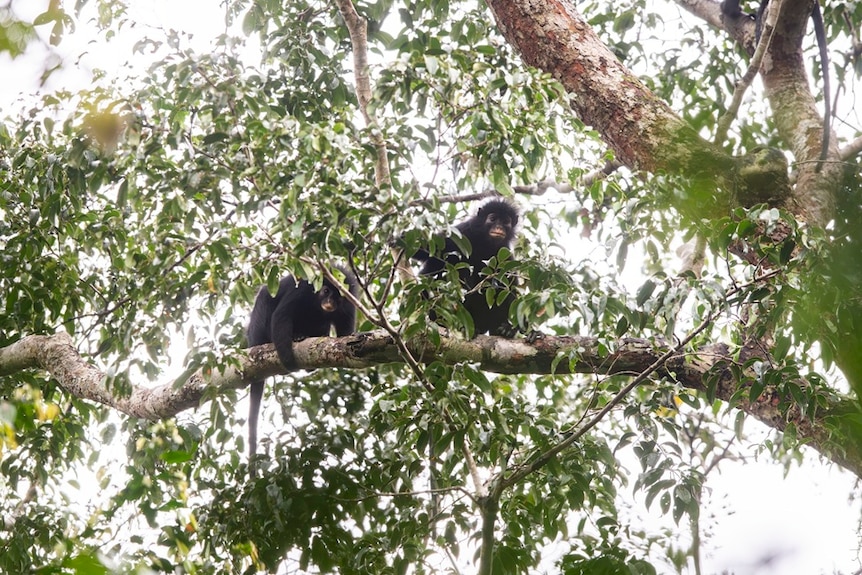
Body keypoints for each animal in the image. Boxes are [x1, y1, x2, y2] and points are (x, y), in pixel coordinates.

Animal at [245, 266, 359, 469]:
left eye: (338, 297)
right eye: (326, 291)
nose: (330, 302)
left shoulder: (349, 301)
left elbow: (345, 337)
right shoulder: (302, 290)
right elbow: (281, 316)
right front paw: (288, 361)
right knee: (266, 297)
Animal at [412, 199, 520, 337]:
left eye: (506, 222)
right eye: (492, 219)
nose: (499, 227)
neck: (485, 243)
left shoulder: (504, 252)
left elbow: (510, 286)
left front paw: (512, 328)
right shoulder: (463, 232)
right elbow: (432, 248)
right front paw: (399, 240)